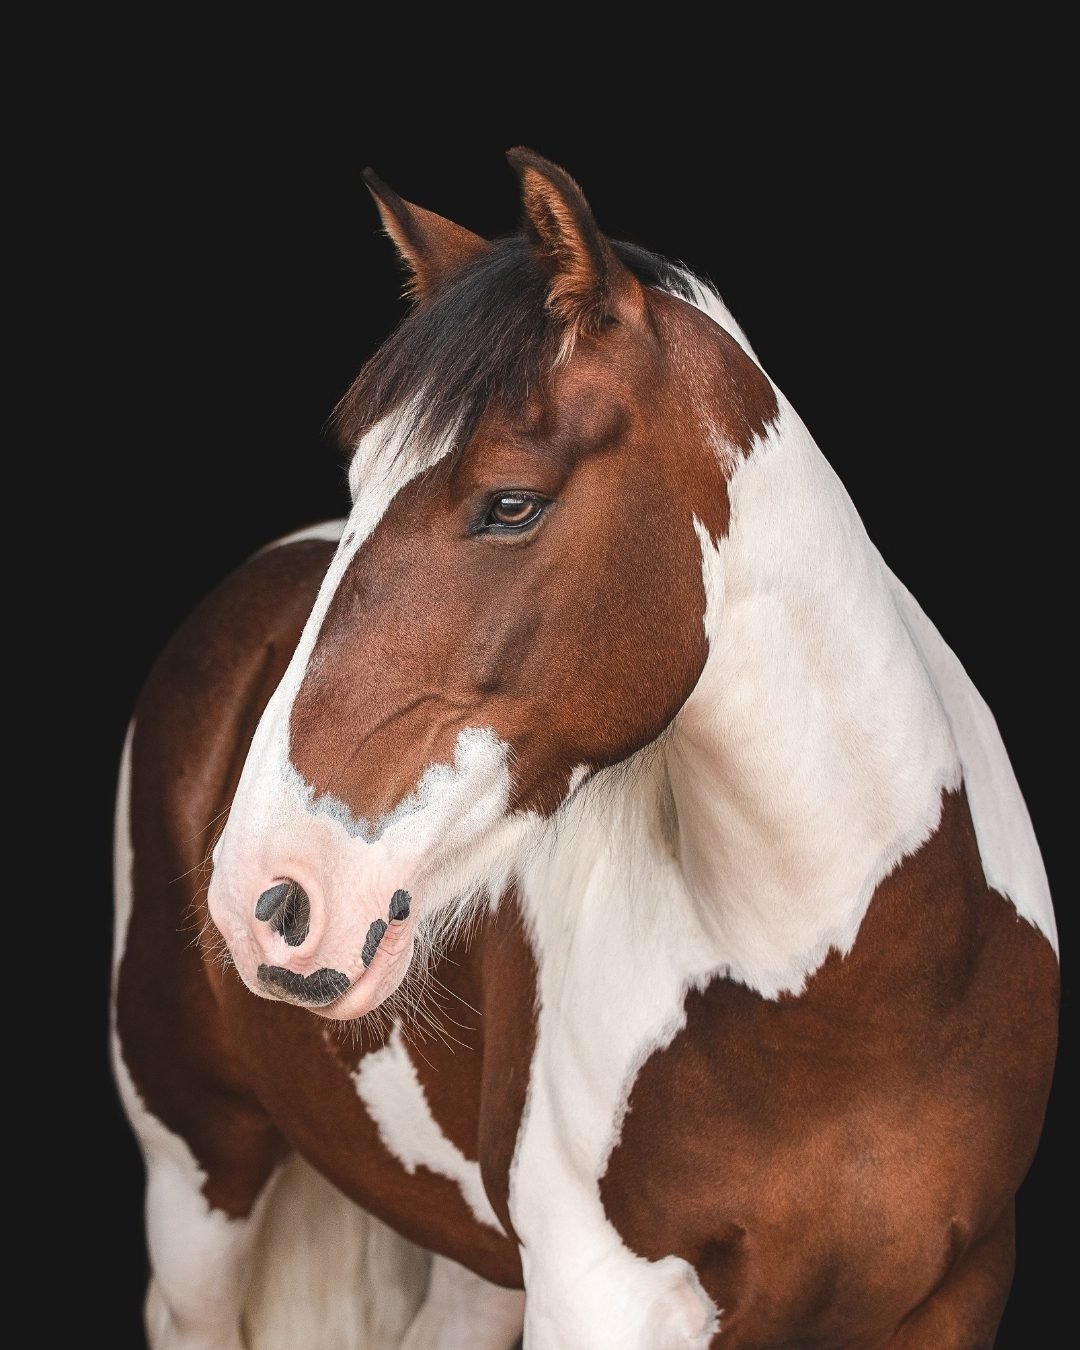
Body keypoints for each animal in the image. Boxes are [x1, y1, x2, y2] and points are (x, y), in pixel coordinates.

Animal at [110, 146, 1060, 1349]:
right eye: (360, 487)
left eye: (511, 503)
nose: (263, 896)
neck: (844, 1002)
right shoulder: (603, 1297)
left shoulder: (961, 1288)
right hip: (198, 1176)